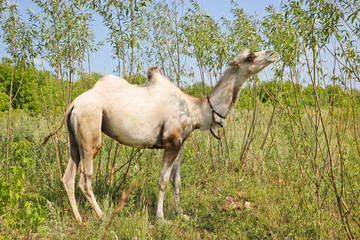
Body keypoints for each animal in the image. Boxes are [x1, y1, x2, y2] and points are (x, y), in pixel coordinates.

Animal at [43, 49, 278, 223]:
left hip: (74, 138)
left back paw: (79, 218)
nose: (273, 53)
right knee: (85, 179)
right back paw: (103, 216)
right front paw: (161, 218)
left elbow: (177, 179)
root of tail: (73, 104)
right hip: (90, 129)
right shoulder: (171, 141)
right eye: (250, 56)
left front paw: (180, 213)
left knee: (68, 177)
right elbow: (163, 180)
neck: (197, 111)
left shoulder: (181, 142)